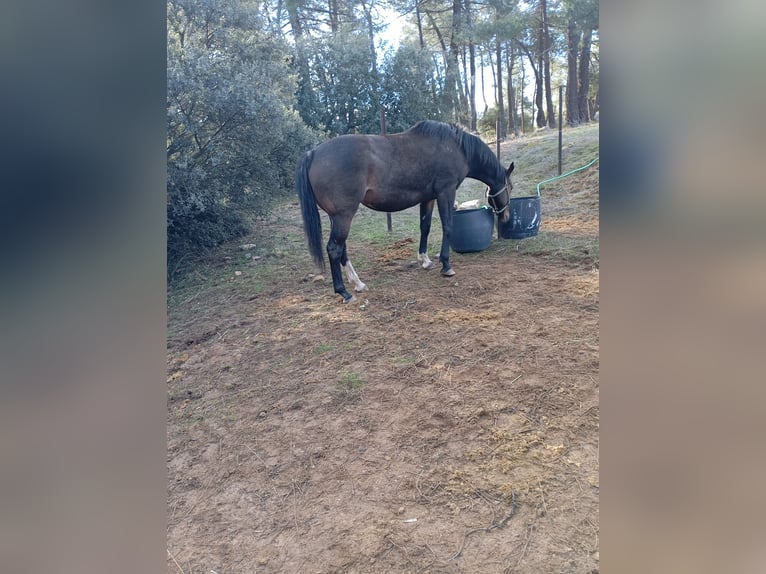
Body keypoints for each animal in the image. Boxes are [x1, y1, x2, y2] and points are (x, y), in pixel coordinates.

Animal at [295, 120, 514, 302]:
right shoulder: (446, 192)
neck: (456, 147)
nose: (506, 217)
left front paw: (425, 260)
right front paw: (446, 265)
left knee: (342, 248)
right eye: (510, 188)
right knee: (334, 248)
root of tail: (313, 153)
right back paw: (344, 292)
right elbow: (447, 226)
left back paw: (357, 283)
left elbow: (425, 227)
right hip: (343, 215)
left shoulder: (428, 198)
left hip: (338, 216)